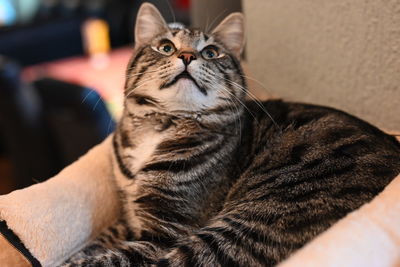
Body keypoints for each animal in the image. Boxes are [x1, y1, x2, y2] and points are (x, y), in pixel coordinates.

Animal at [61, 2, 400, 267]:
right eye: (166, 47)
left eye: (211, 52)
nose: (187, 56)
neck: (162, 126)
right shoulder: (129, 217)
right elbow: (100, 240)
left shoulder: (165, 232)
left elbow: (114, 257)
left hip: (252, 222)